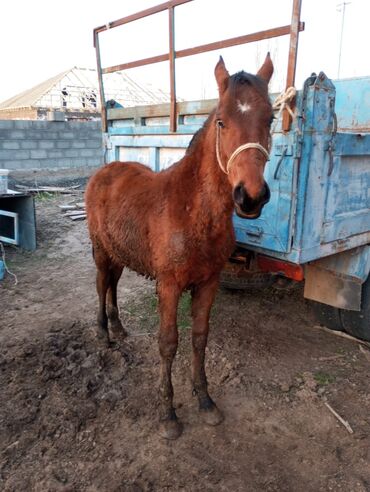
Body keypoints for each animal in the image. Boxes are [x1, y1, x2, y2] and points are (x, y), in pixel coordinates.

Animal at [85, 55, 274, 440]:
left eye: (271, 119)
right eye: (221, 121)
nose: (250, 196)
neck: (191, 210)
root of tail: (103, 172)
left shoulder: (208, 282)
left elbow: (199, 338)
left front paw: (205, 401)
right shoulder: (169, 285)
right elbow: (168, 342)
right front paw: (168, 413)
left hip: (119, 253)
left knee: (112, 284)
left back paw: (118, 327)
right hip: (100, 251)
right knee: (100, 284)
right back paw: (103, 333)